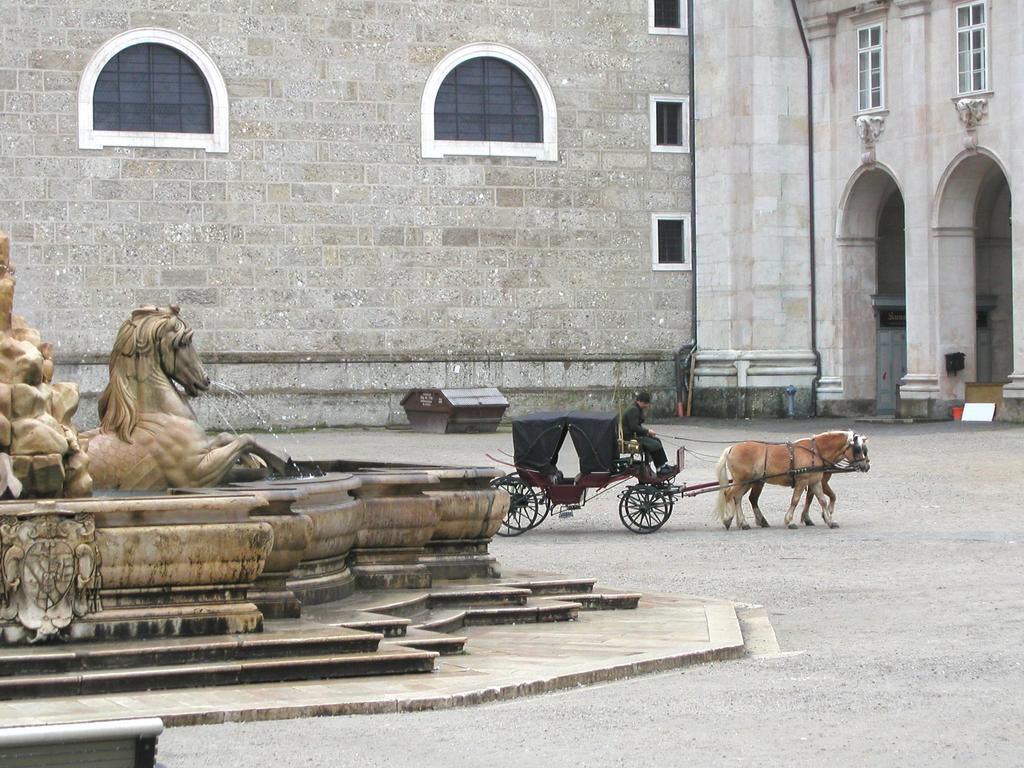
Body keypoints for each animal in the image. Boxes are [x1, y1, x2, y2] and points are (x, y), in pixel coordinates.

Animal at [78, 305, 288, 489]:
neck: (164, 414)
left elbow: (226, 437)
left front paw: (262, 462)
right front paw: (280, 461)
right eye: (184, 342)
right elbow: (245, 439)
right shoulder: (198, 474)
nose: (206, 379)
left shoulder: (205, 452)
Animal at [712, 430, 872, 532]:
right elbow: (795, 500)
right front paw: (790, 521)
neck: (815, 451)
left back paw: (743, 523)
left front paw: (829, 521)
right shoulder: (802, 481)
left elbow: (822, 500)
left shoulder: (815, 482)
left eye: (865, 449)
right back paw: (728, 519)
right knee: (729, 495)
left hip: (748, 482)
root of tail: (732, 447)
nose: (866, 466)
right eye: (858, 449)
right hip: (743, 480)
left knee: (738, 498)